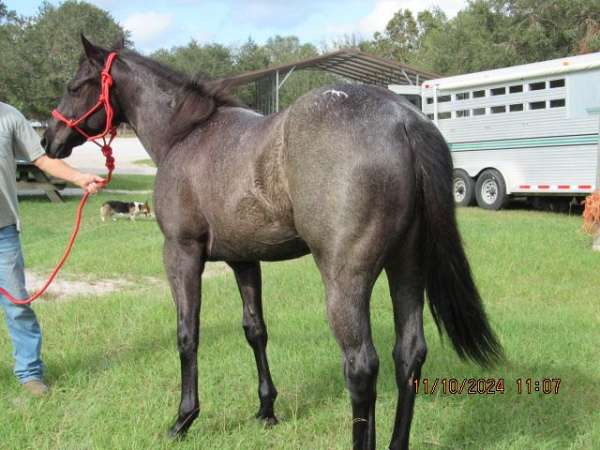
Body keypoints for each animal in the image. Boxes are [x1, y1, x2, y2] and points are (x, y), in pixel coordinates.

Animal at [42, 37, 502, 450]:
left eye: (74, 85)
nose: (49, 141)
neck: (187, 135)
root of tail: (405, 121)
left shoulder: (182, 252)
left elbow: (187, 334)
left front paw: (183, 419)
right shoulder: (244, 260)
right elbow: (255, 330)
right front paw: (267, 409)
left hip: (347, 280)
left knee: (361, 365)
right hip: (407, 267)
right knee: (408, 354)